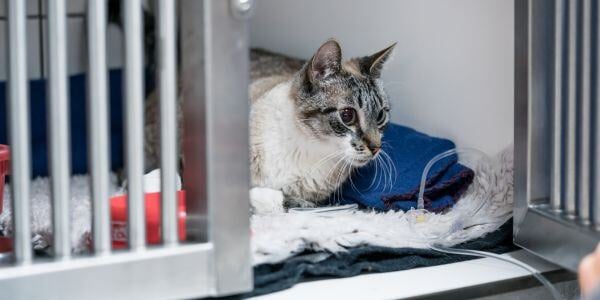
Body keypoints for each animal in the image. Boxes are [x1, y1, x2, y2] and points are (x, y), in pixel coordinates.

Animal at [247, 39, 394, 212]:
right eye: (347, 115)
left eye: (380, 116)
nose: (376, 148)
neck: (308, 148)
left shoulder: (307, 199)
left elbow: (285, 199)